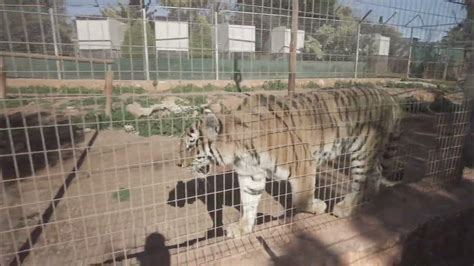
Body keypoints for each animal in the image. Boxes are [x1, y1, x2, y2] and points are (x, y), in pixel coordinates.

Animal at [176, 88, 402, 239]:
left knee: (361, 181)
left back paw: (347, 207)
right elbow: (249, 203)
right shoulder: (250, 175)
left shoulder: (303, 164)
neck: (240, 150)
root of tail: (386, 94)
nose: (178, 164)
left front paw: (318, 206)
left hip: (361, 151)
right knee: (376, 171)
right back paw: (370, 196)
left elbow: (301, 200)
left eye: (191, 144)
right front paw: (242, 228)